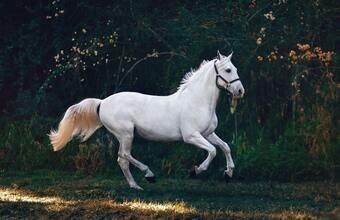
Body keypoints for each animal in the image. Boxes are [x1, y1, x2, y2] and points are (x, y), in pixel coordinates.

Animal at [49, 50, 244, 190]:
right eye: (228, 70)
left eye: (235, 68)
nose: (240, 91)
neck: (197, 100)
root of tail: (102, 102)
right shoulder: (191, 136)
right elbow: (212, 151)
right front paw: (196, 171)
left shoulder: (208, 133)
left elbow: (225, 147)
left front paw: (229, 173)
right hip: (126, 134)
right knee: (124, 155)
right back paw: (149, 175)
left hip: (125, 136)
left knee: (122, 159)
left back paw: (135, 186)